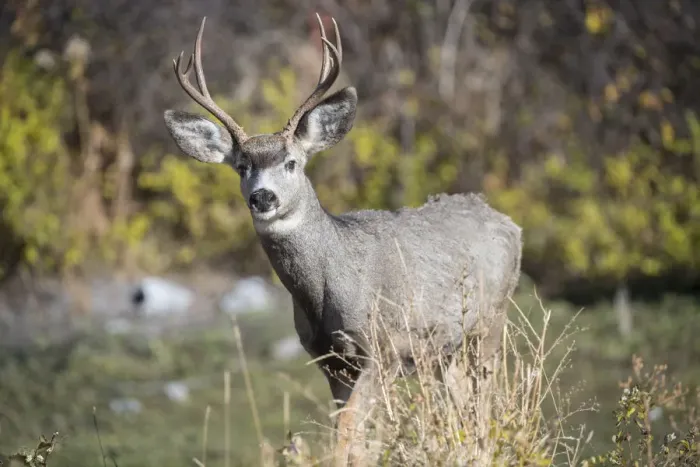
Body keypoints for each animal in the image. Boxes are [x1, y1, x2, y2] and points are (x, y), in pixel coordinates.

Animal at [163, 14, 522, 466]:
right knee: (463, 403)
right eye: (242, 166)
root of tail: (510, 224)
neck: (328, 285)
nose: (263, 197)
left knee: (484, 399)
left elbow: (349, 434)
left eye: (291, 162)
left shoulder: (380, 349)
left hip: (491, 322)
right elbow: (351, 435)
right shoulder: (329, 360)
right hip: (445, 349)